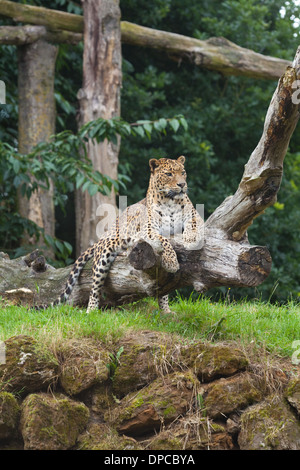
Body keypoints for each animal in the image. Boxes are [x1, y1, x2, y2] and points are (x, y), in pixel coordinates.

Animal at [39, 156, 203, 314]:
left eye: (183, 172)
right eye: (169, 174)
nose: (182, 185)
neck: (170, 201)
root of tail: (101, 238)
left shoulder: (194, 215)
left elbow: (194, 224)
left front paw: (191, 237)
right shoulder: (148, 230)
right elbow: (165, 240)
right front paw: (172, 261)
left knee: (162, 288)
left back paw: (166, 311)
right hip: (103, 257)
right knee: (94, 288)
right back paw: (90, 310)